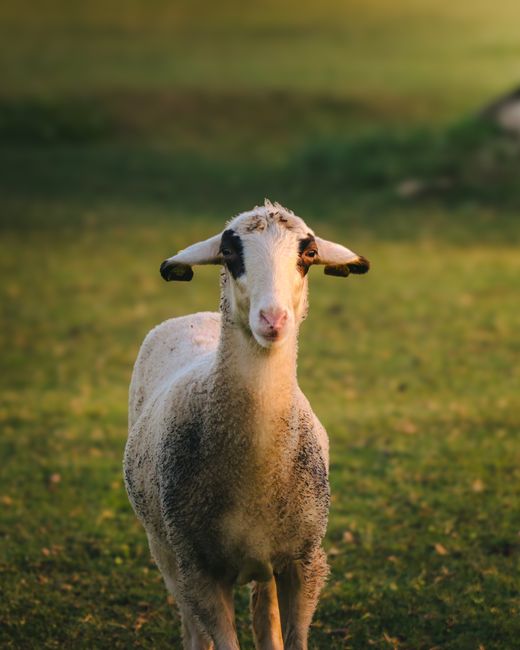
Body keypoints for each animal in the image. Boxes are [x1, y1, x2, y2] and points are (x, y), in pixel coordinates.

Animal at [124, 199, 370, 650]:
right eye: (229, 254)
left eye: (308, 254)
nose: (273, 319)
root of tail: (194, 316)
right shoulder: (198, 570)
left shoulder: (304, 561)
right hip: (165, 552)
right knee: (193, 629)